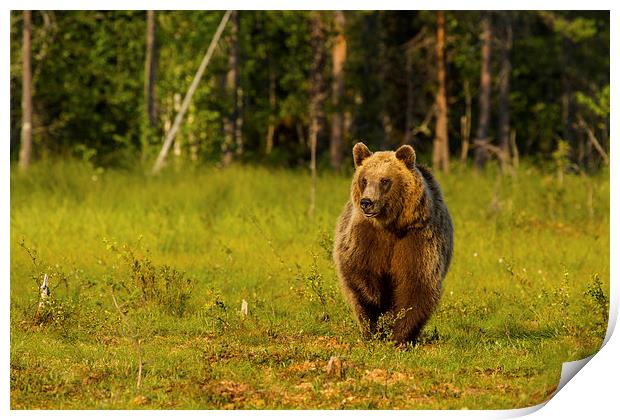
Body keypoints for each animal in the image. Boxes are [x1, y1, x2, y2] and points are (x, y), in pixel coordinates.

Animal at [334, 143, 450, 342]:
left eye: (384, 180)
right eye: (364, 179)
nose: (367, 202)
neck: (390, 225)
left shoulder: (417, 236)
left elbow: (417, 282)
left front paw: (399, 335)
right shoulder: (364, 235)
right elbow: (357, 268)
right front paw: (375, 303)